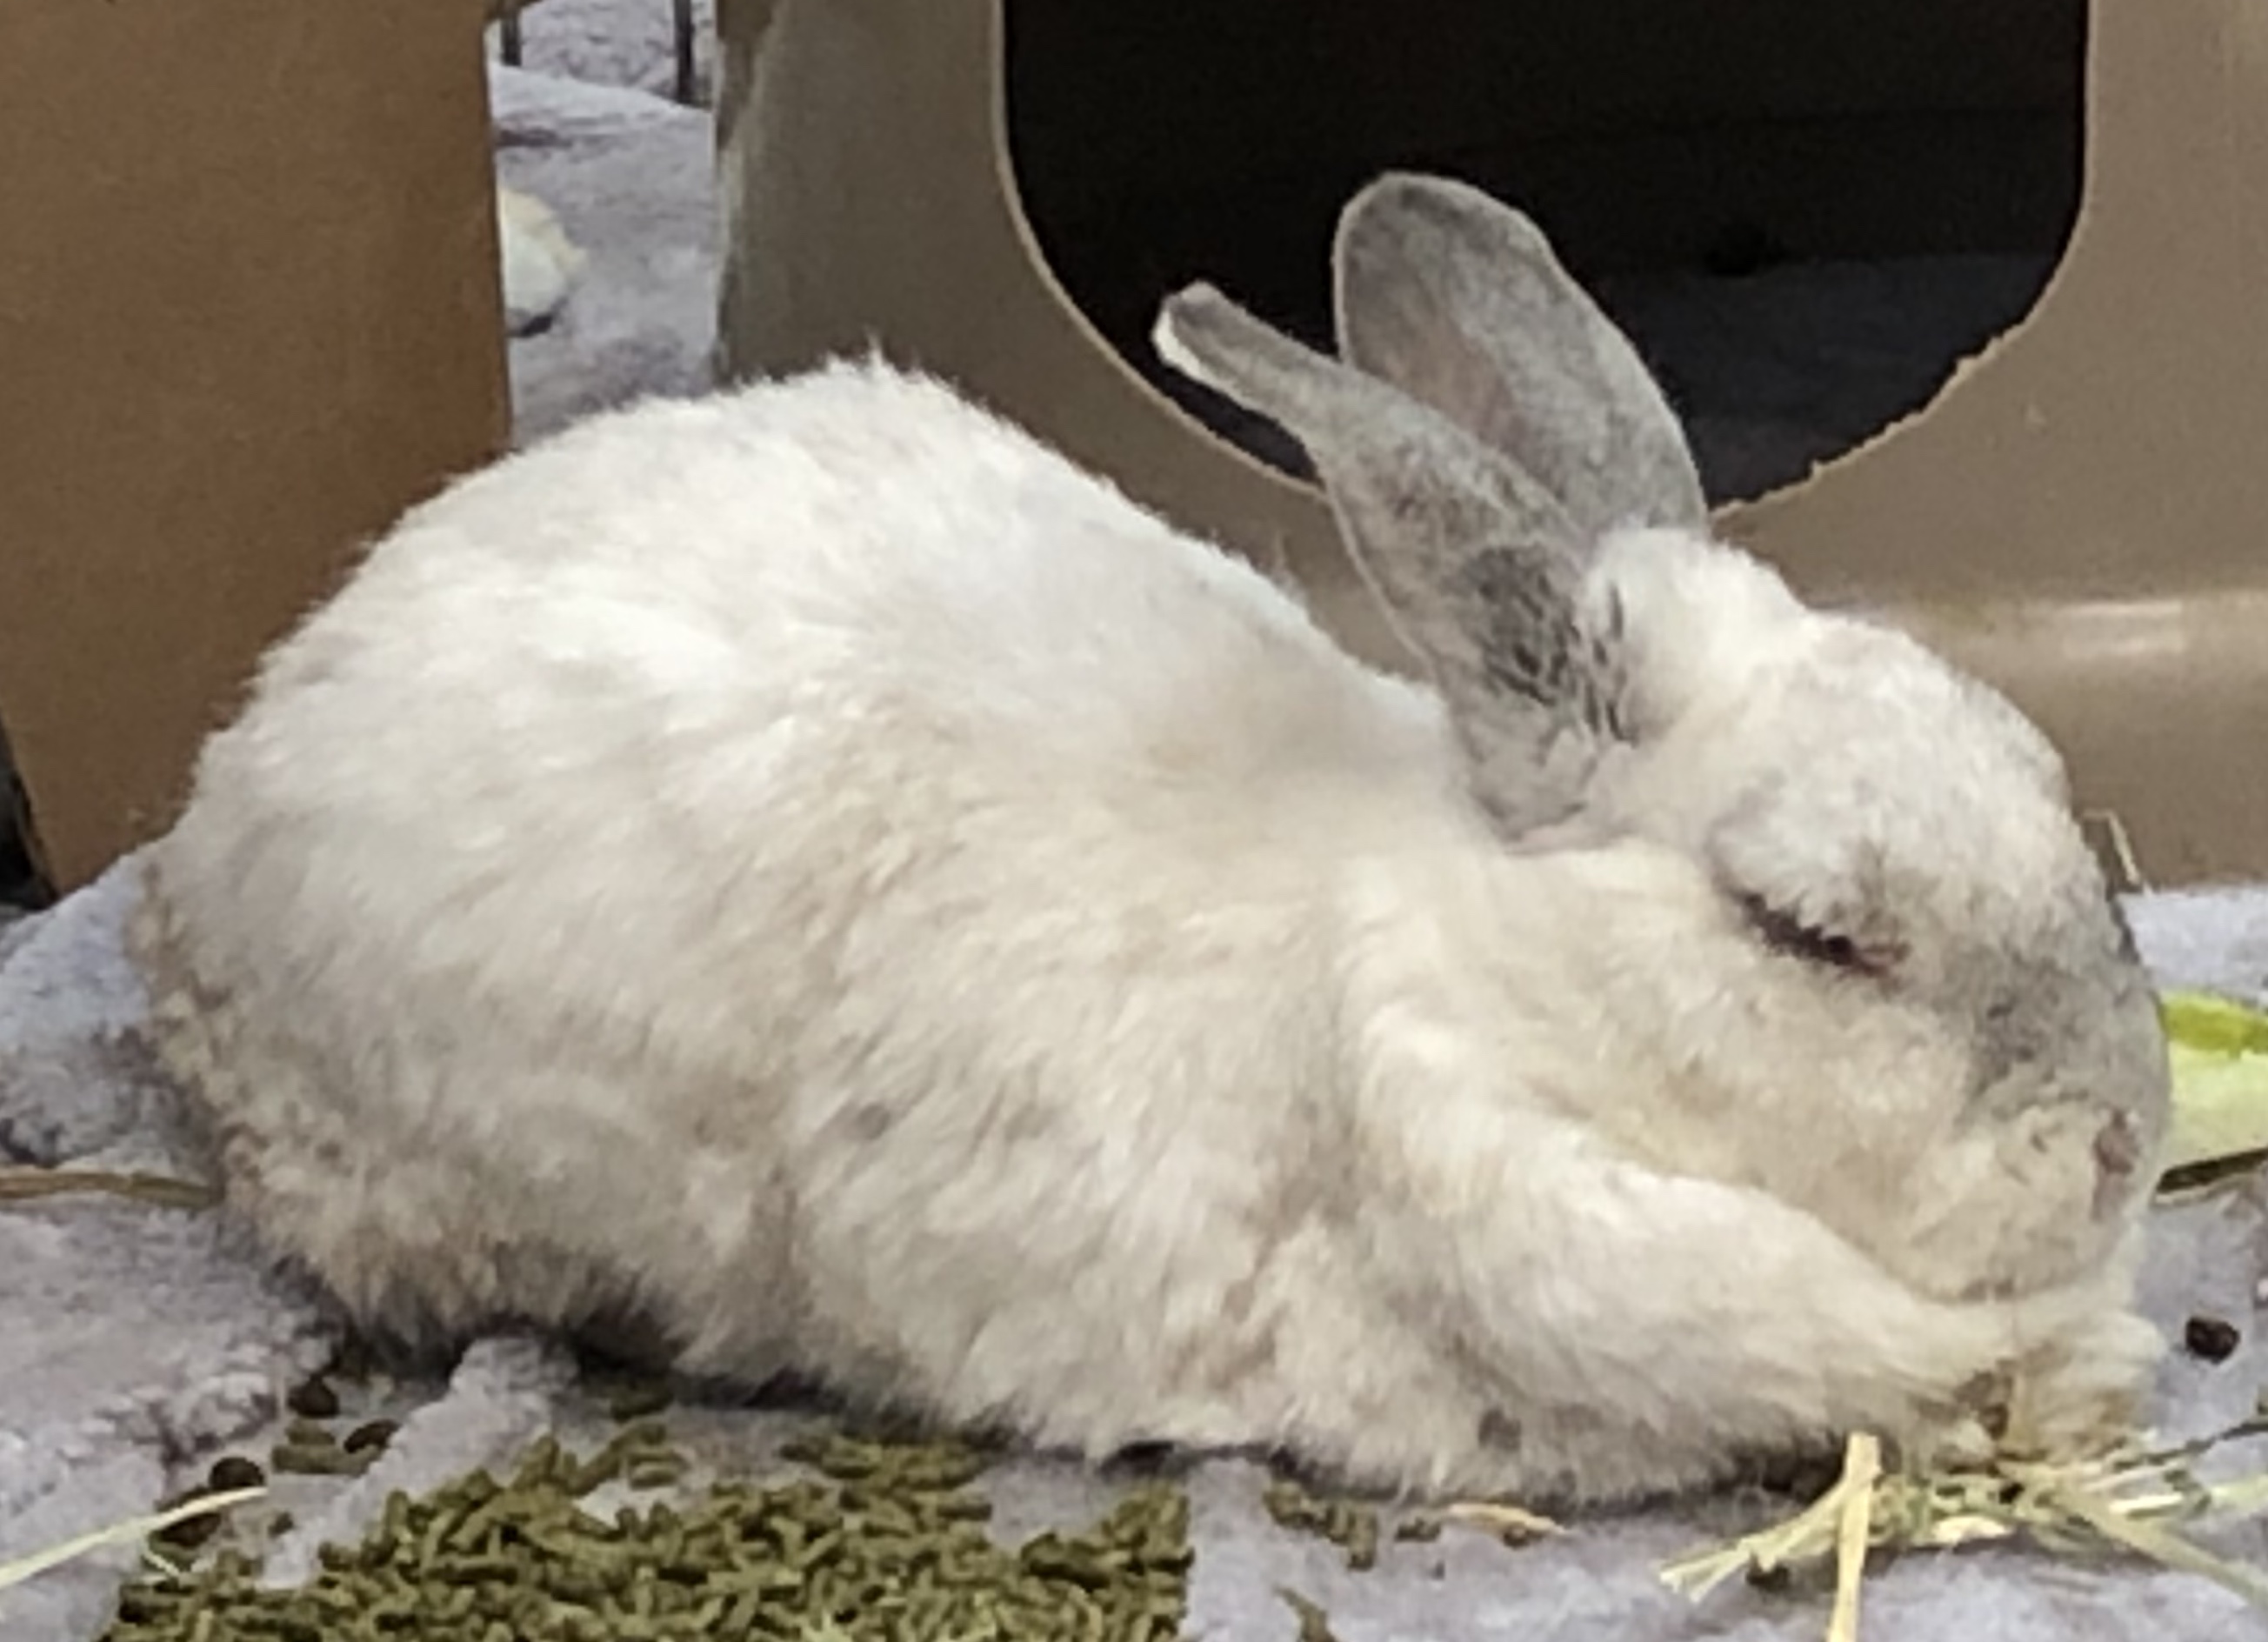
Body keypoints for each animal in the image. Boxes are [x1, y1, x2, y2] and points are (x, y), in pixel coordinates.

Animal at [127, 170, 2170, 1508]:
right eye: (1805, 926)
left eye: (2038, 773)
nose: (2118, 1144)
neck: (1501, 988)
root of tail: (207, 826)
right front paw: (2087, 1369)